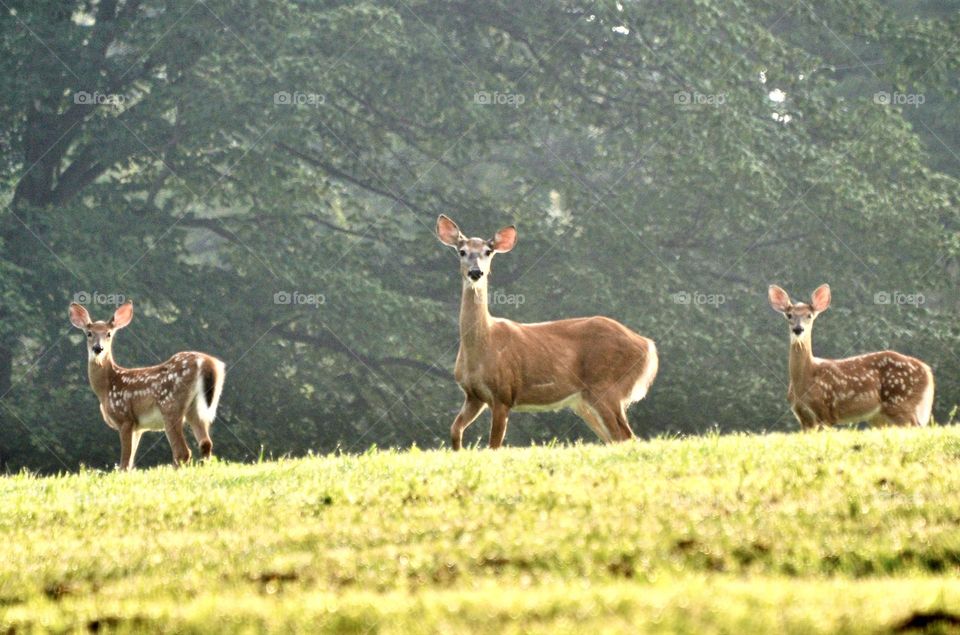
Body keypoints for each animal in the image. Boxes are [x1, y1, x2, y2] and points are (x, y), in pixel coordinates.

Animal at [68, 300, 226, 470]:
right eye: (89, 333)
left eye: (109, 334)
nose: (98, 348)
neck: (106, 388)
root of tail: (205, 361)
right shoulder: (138, 428)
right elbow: (131, 462)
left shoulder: (125, 418)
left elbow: (124, 463)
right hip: (195, 408)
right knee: (205, 443)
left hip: (170, 405)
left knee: (183, 452)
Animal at [436, 216, 656, 450]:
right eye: (462, 251)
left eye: (488, 251)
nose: (476, 272)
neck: (482, 346)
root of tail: (647, 345)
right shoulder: (473, 395)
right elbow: (455, 430)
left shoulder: (504, 394)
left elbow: (494, 446)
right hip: (585, 401)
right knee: (617, 438)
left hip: (607, 385)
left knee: (626, 436)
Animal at [768, 284, 932, 430]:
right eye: (789, 315)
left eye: (809, 315)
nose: (798, 329)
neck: (804, 380)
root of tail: (927, 371)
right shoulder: (804, 417)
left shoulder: (825, 411)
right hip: (880, 416)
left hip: (900, 401)